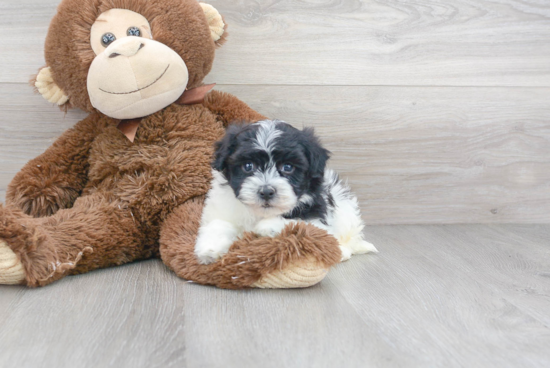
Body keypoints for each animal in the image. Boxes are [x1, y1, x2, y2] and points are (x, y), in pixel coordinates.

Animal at [195, 120, 380, 264]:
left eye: (288, 167)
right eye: (248, 166)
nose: (266, 191)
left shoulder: (318, 218)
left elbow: (300, 223)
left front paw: (267, 226)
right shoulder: (222, 209)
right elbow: (218, 224)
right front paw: (209, 249)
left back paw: (342, 251)